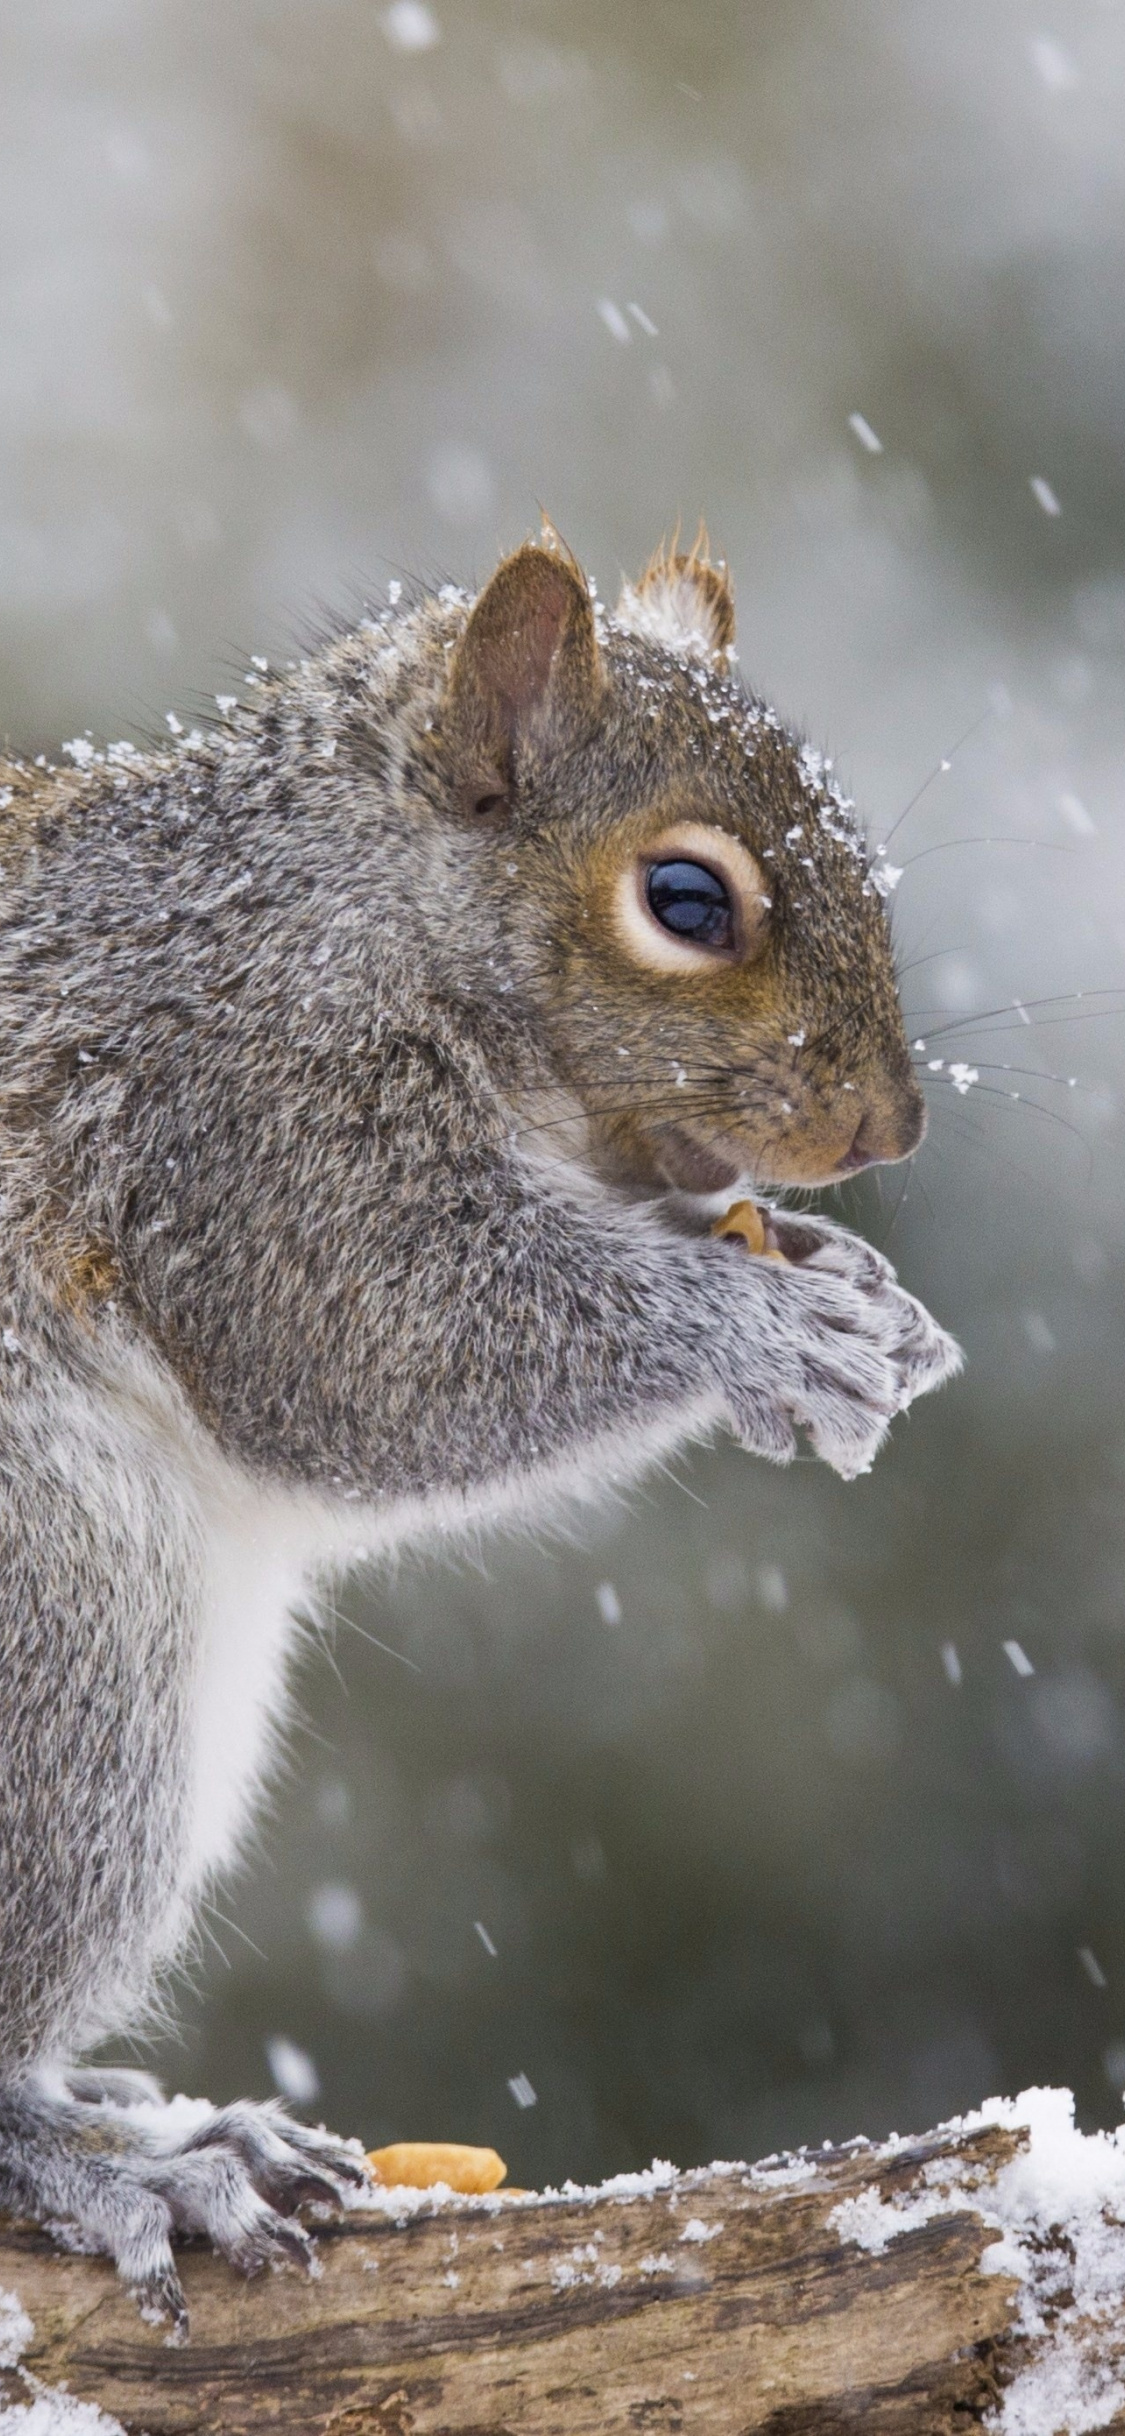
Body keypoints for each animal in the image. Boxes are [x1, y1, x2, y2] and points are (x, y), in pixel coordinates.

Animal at [0, 528, 959, 2319]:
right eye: (685, 900)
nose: (889, 1132)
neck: (348, 894)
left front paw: (847, 1282)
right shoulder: (245, 1118)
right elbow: (380, 1349)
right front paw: (767, 1330)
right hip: (63, 1658)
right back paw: (128, 2168)